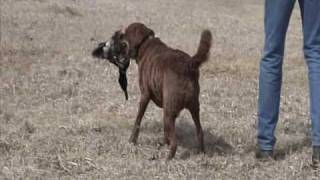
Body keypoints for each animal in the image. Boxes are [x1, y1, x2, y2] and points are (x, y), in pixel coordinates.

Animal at [92, 22, 212, 159]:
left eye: (122, 35)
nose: (114, 35)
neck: (145, 43)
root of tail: (190, 64)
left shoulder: (144, 95)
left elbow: (138, 120)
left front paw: (132, 141)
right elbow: (165, 131)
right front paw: (164, 143)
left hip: (170, 111)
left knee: (175, 143)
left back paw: (167, 158)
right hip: (193, 108)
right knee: (200, 131)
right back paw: (201, 153)